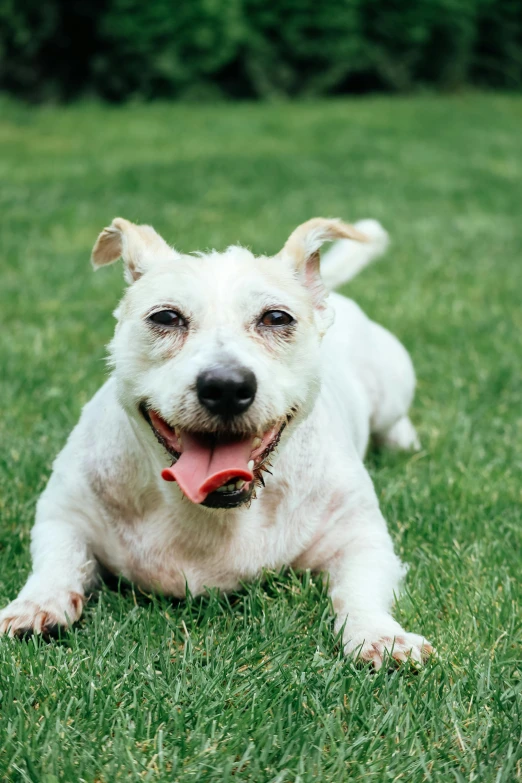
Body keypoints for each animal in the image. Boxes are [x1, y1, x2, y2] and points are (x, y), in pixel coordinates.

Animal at [0, 216, 430, 668]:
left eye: (277, 317)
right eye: (166, 316)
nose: (225, 386)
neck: (209, 514)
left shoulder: (361, 536)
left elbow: (359, 589)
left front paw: (379, 633)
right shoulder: (63, 513)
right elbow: (57, 561)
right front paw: (37, 604)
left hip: (393, 386)